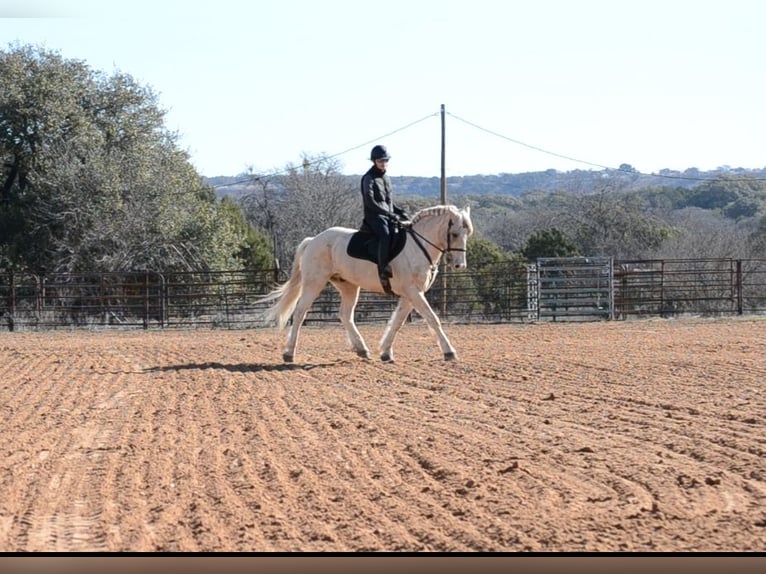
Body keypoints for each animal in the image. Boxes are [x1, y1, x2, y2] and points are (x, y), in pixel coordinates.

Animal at [258, 205, 474, 362]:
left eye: (467, 234)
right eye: (454, 234)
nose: (459, 265)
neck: (417, 247)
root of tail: (313, 240)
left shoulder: (411, 294)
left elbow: (397, 322)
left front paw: (386, 352)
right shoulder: (414, 292)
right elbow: (432, 319)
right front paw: (449, 352)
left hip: (349, 286)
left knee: (345, 315)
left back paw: (362, 349)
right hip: (314, 283)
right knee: (300, 312)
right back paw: (289, 353)